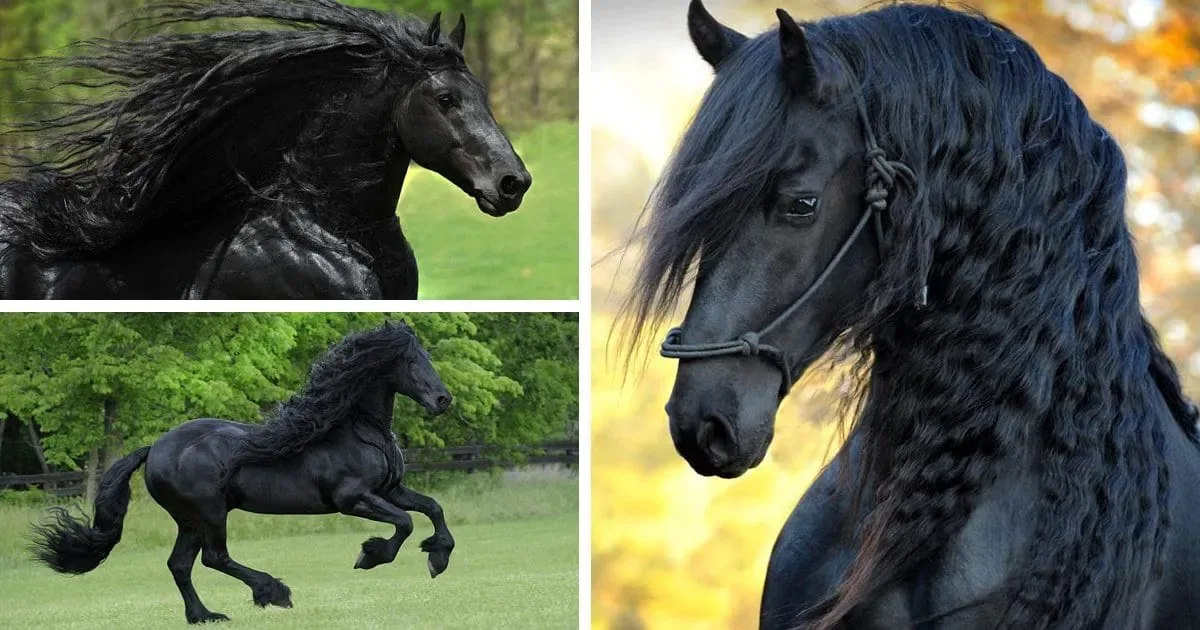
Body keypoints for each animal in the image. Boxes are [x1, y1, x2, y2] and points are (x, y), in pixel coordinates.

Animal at [30, 321, 457, 624]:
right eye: (410, 361)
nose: (443, 400)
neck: (357, 430)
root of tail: (155, 449)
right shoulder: (353, 499)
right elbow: (404, 523)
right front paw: (370, 555)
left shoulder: (392, 489)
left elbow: (432, 509)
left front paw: (438, 558)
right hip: (210, 513)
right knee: (214, 558)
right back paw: (274, 592)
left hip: (190, 521)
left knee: (180, 564)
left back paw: (204, 616)